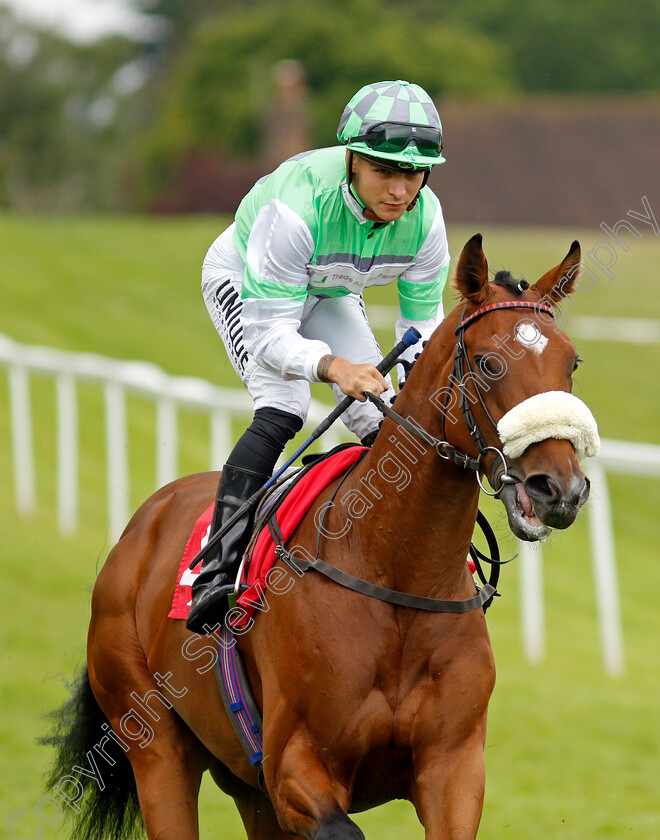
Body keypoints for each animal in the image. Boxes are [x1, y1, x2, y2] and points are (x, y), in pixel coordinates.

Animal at [43, 235, 596, 840]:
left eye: (571, 362)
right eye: (489, 362)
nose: (559, 489)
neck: (396, 571)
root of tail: (142, 523)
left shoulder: (454, 767)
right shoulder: (294, 767)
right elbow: (341, 826)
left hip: (247, 787)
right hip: (155, 742)